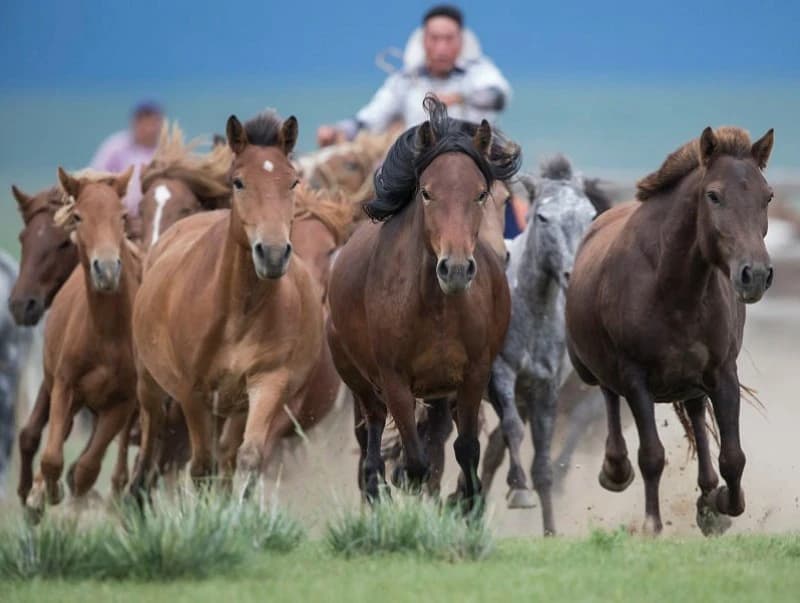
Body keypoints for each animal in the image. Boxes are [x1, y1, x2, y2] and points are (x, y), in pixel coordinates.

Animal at [23, 166, 139, 519]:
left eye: (122, 215)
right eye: (78, 216)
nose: (108, 270)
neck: (106, 335)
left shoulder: (122, 402)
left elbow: (87, 469)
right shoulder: (64, 385)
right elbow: (52, 457)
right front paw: (45, 494)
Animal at [129, 110, 323, 500]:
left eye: (293, 182)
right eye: (238, 182)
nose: (273, 253)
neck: (238, 311)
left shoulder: (267, 381)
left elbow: (246, 458)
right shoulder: (191, 393)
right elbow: (201, 466)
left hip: (234, 406)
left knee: (228, 457)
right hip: (151, 385)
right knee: (151, 442)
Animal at [326, 96, 521, 509]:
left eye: (481, 193)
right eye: (427, 193)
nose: (456, 269)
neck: (436, 308)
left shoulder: (472, 375)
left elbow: (465, 449)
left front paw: (466, 504)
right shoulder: (394, 380)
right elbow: (415, 462)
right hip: (359, 381)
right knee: (371, 435)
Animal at [478, 156, 597, 535]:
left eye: (591, 215)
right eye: (543, 217)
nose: (573, 274)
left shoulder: (544, 387)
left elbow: (542, 462)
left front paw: (550, 530)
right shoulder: (501, 374)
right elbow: (513, 430)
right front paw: (519, 491)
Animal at [565, 126, 775, 535]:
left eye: (767, 196)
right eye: (714, 195)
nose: (755, 274)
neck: (674, 288)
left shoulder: (722, 372)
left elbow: (733, 456)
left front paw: (721, 503)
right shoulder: (635, 376)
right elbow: (651, 455)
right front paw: (652, 524)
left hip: (690, 382)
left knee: (695, 414)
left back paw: (707, 494)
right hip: (590, 367)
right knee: (607, 394)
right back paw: (615, 469)